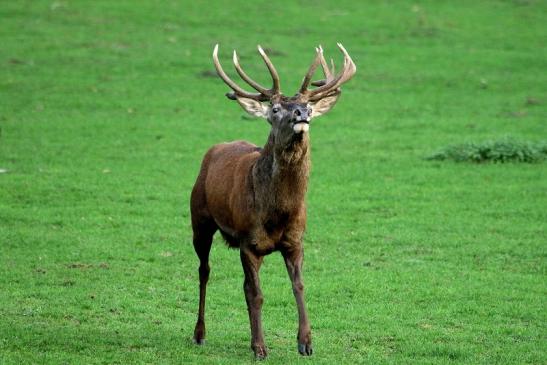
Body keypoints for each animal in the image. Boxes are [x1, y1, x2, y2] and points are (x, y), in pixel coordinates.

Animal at [191, 43, 358, 358]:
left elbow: (299, 286)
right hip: (199, 220)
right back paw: (199, 334)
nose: (301, 113)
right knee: (204, 271)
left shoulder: (295, 241)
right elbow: (255, 294)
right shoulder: (249, 242)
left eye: (309, 106)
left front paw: (306, 342)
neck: (277, 214)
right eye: (276, 109)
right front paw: (259, 347)